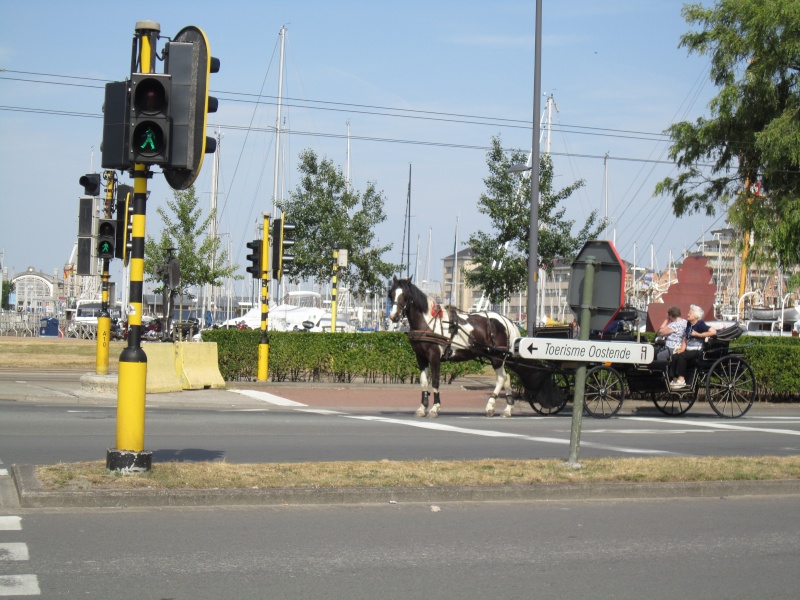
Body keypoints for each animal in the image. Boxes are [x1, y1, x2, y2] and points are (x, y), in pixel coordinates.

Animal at [390, 276, 524, 418]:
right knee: (507, 377)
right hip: (500, 358)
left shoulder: (434, 356)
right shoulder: (421, 357)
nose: (394, 316)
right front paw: (422, 408)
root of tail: (507, 321)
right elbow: (424, 382)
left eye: (405, 295)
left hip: (496, 357)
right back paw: (507, 409)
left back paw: (490, 406)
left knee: (501, 378)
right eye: (391, 294)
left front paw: (434, 408)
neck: (428, 323)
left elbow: (435, 381)